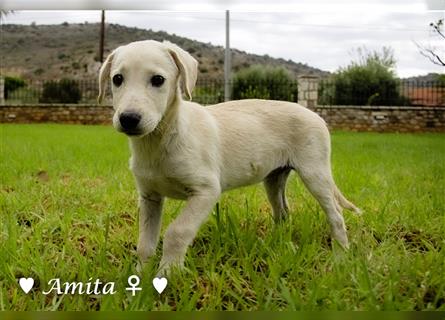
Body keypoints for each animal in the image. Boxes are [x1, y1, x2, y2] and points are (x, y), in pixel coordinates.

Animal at [98, 39, 360, 276]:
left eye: (158, 80)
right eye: (117, 79)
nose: (128, 118)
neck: (162, 139)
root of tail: (315, 114)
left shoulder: (205, 191)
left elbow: (177, 231)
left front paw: (168, 274)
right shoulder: (149, 197)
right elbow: (145, 243)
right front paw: (139, 277)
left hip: (315, 173)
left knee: (336, 216)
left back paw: (340, 259)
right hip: (274, 178)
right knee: (283, 214)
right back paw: (280, 248)